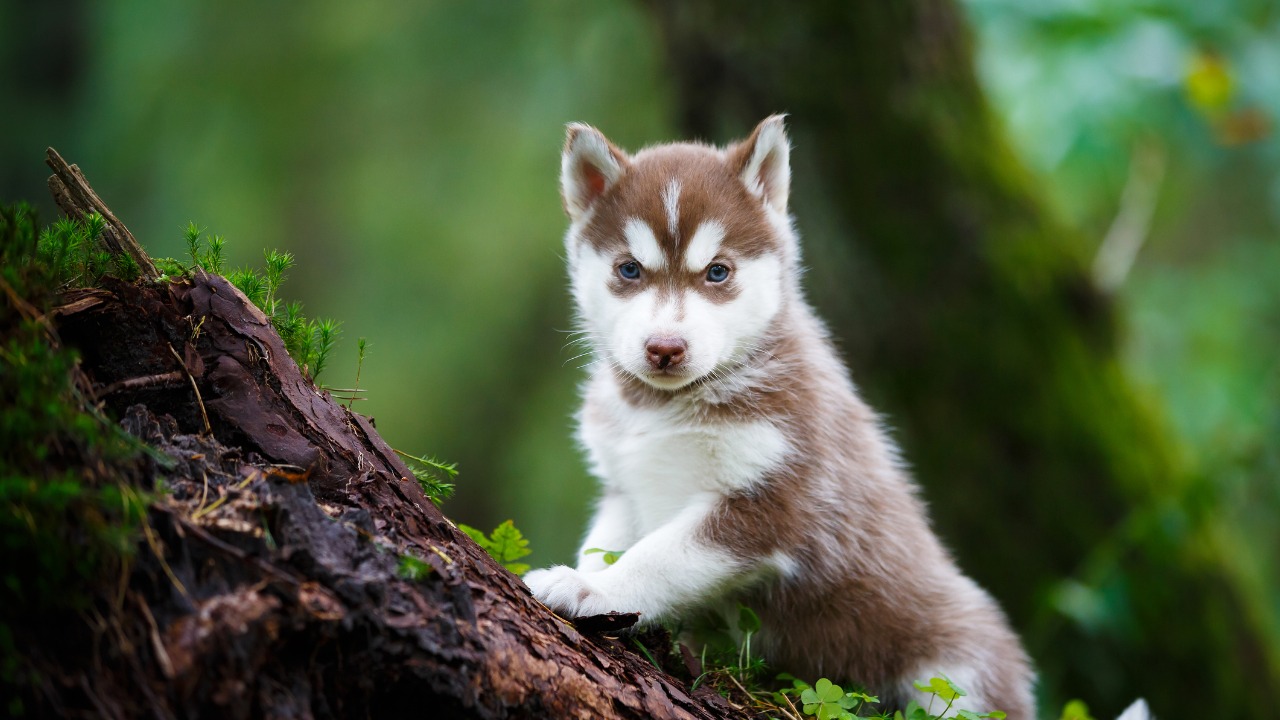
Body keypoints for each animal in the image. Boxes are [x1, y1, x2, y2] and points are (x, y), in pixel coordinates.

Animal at [524, 114, 1034, 712]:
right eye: (629, 269)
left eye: (718, 272)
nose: (665, 348)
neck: (667, 409)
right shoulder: (625, 484)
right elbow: (604, 543)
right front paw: (587, 576)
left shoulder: (772, 501)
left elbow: (658, 556)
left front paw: (593, 589)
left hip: (959, 669)